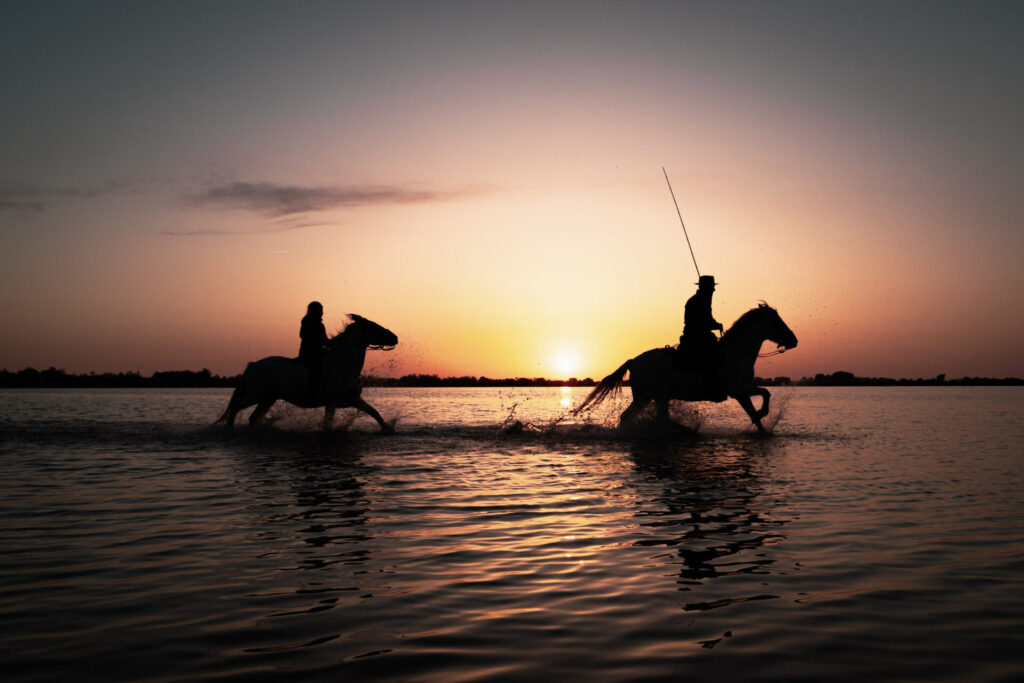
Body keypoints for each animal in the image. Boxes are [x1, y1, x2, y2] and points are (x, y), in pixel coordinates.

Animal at [216, 314, 398, 432]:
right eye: (373, 326)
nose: (394, 337)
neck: (342, 364)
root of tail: (254, 365)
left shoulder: (353, 399)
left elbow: (375, 413)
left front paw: (388, 429)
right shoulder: (331, 402)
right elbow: (327, 424)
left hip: (268, 398)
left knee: (252, 417)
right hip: (255, 395)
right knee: (235, 409)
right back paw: (229, 431)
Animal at [575, 303, 797, 434]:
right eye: (777, 322)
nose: (794, 340)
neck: (737, 351)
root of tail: (634, 361)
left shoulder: (742, 391)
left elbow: (758, 408)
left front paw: (761, 421)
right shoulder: (739, 390)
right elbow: (764, 395)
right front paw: (762, 413)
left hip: (644, 397)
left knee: (627, 417)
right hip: (659, 396)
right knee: (662, 419)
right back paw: (686, 430)